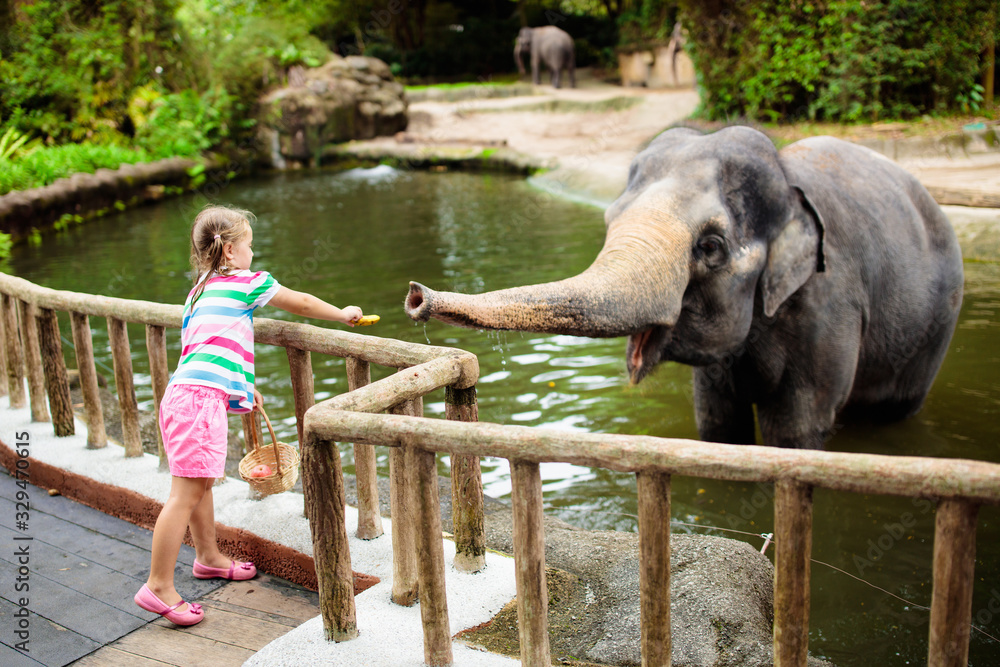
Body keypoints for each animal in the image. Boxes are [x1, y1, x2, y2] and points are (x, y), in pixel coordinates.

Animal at [404, 126, 965, 450]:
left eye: (712, 246)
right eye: (609, 218)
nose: (416, 296)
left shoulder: (827, 306)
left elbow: (795, 428)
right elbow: (717, 425)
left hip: (935, 327)